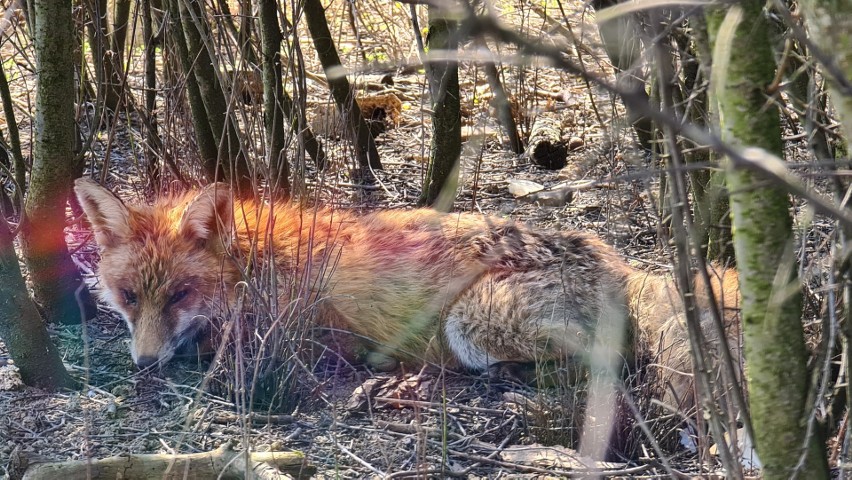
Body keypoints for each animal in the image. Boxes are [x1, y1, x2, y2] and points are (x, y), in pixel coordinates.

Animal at [73, 179, 740, 408]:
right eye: (129, 296)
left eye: (180, 293)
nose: (143, 364)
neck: (258, 265)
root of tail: (620, 263)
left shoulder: (305, 338)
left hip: (469, 324)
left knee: (606, 364)